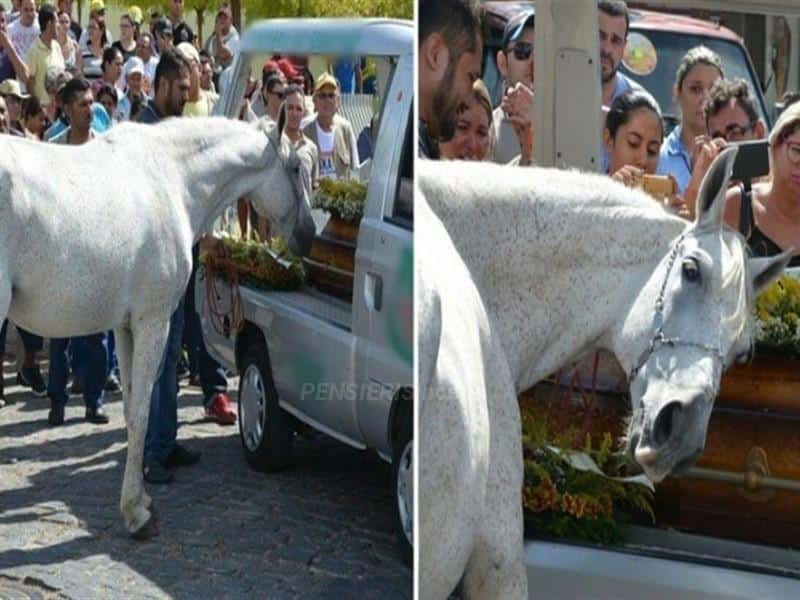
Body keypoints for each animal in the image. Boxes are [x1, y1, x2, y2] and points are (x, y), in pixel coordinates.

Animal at [0, 117, 316, 540]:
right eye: (296, 168)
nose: (309, 234)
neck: (172, 178)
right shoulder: (153, 323)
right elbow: (142, 412)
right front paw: (137, 513)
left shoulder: (125, 327)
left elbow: (131, 408)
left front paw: (140, 501)